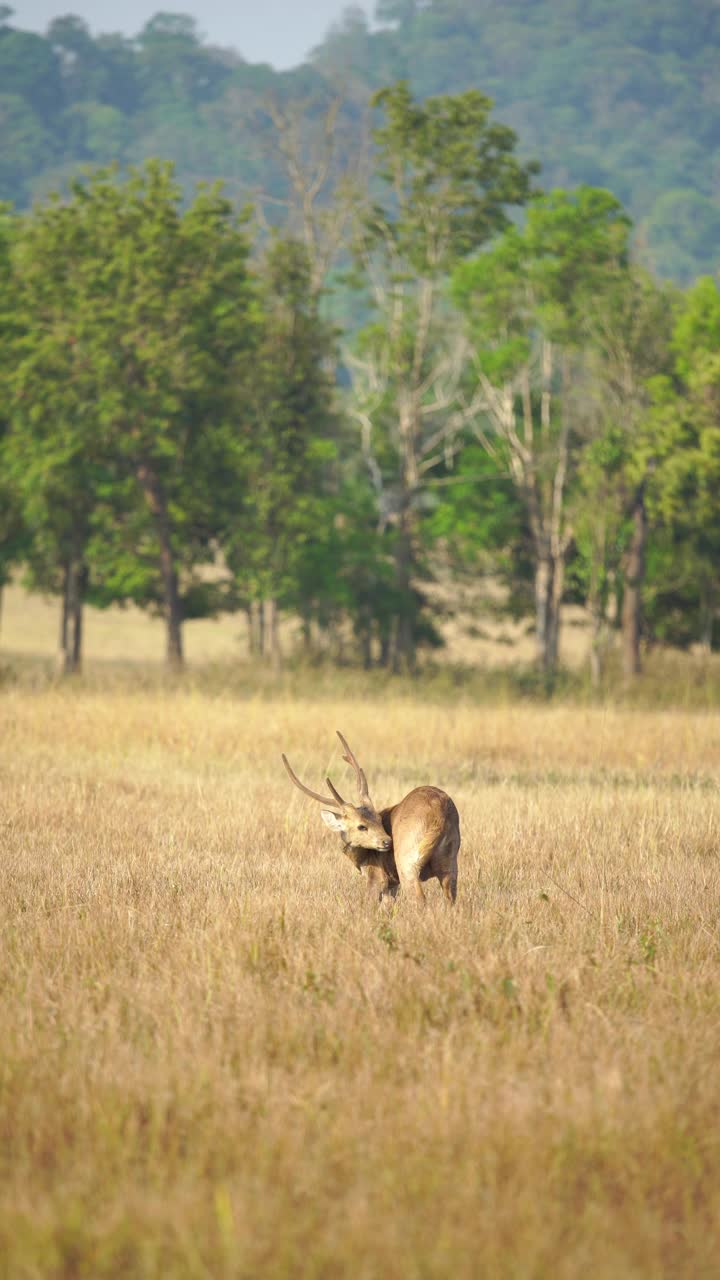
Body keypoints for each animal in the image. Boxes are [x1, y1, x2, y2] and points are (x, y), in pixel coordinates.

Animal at [281, 737, 458, 906]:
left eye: (379, 820)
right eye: (362, 826)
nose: (387, 841)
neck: (362, 858)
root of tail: (439, 812)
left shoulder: (377, 876)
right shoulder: (391, 884)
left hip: (407, 860)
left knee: (419, 900)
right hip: (450, 861)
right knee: (451, 901)